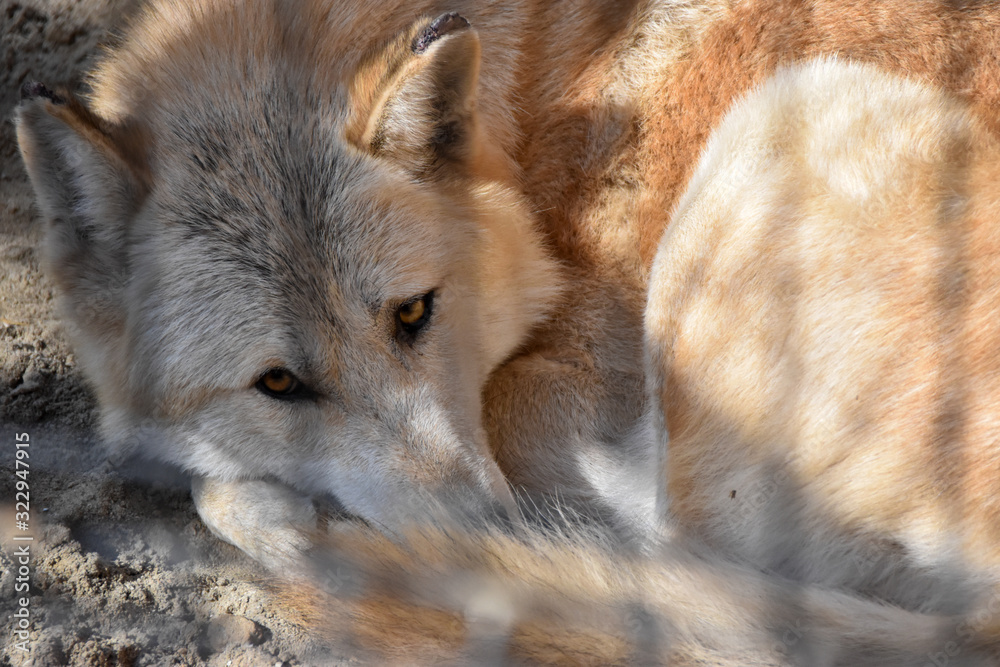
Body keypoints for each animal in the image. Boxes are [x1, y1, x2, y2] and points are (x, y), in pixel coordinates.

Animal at [15, 0, 1000, 661]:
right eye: (279, 383)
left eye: (414, 312)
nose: (482, 528)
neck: (541, 107)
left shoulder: (580, 389)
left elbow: (221, 491)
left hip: (778, 128)